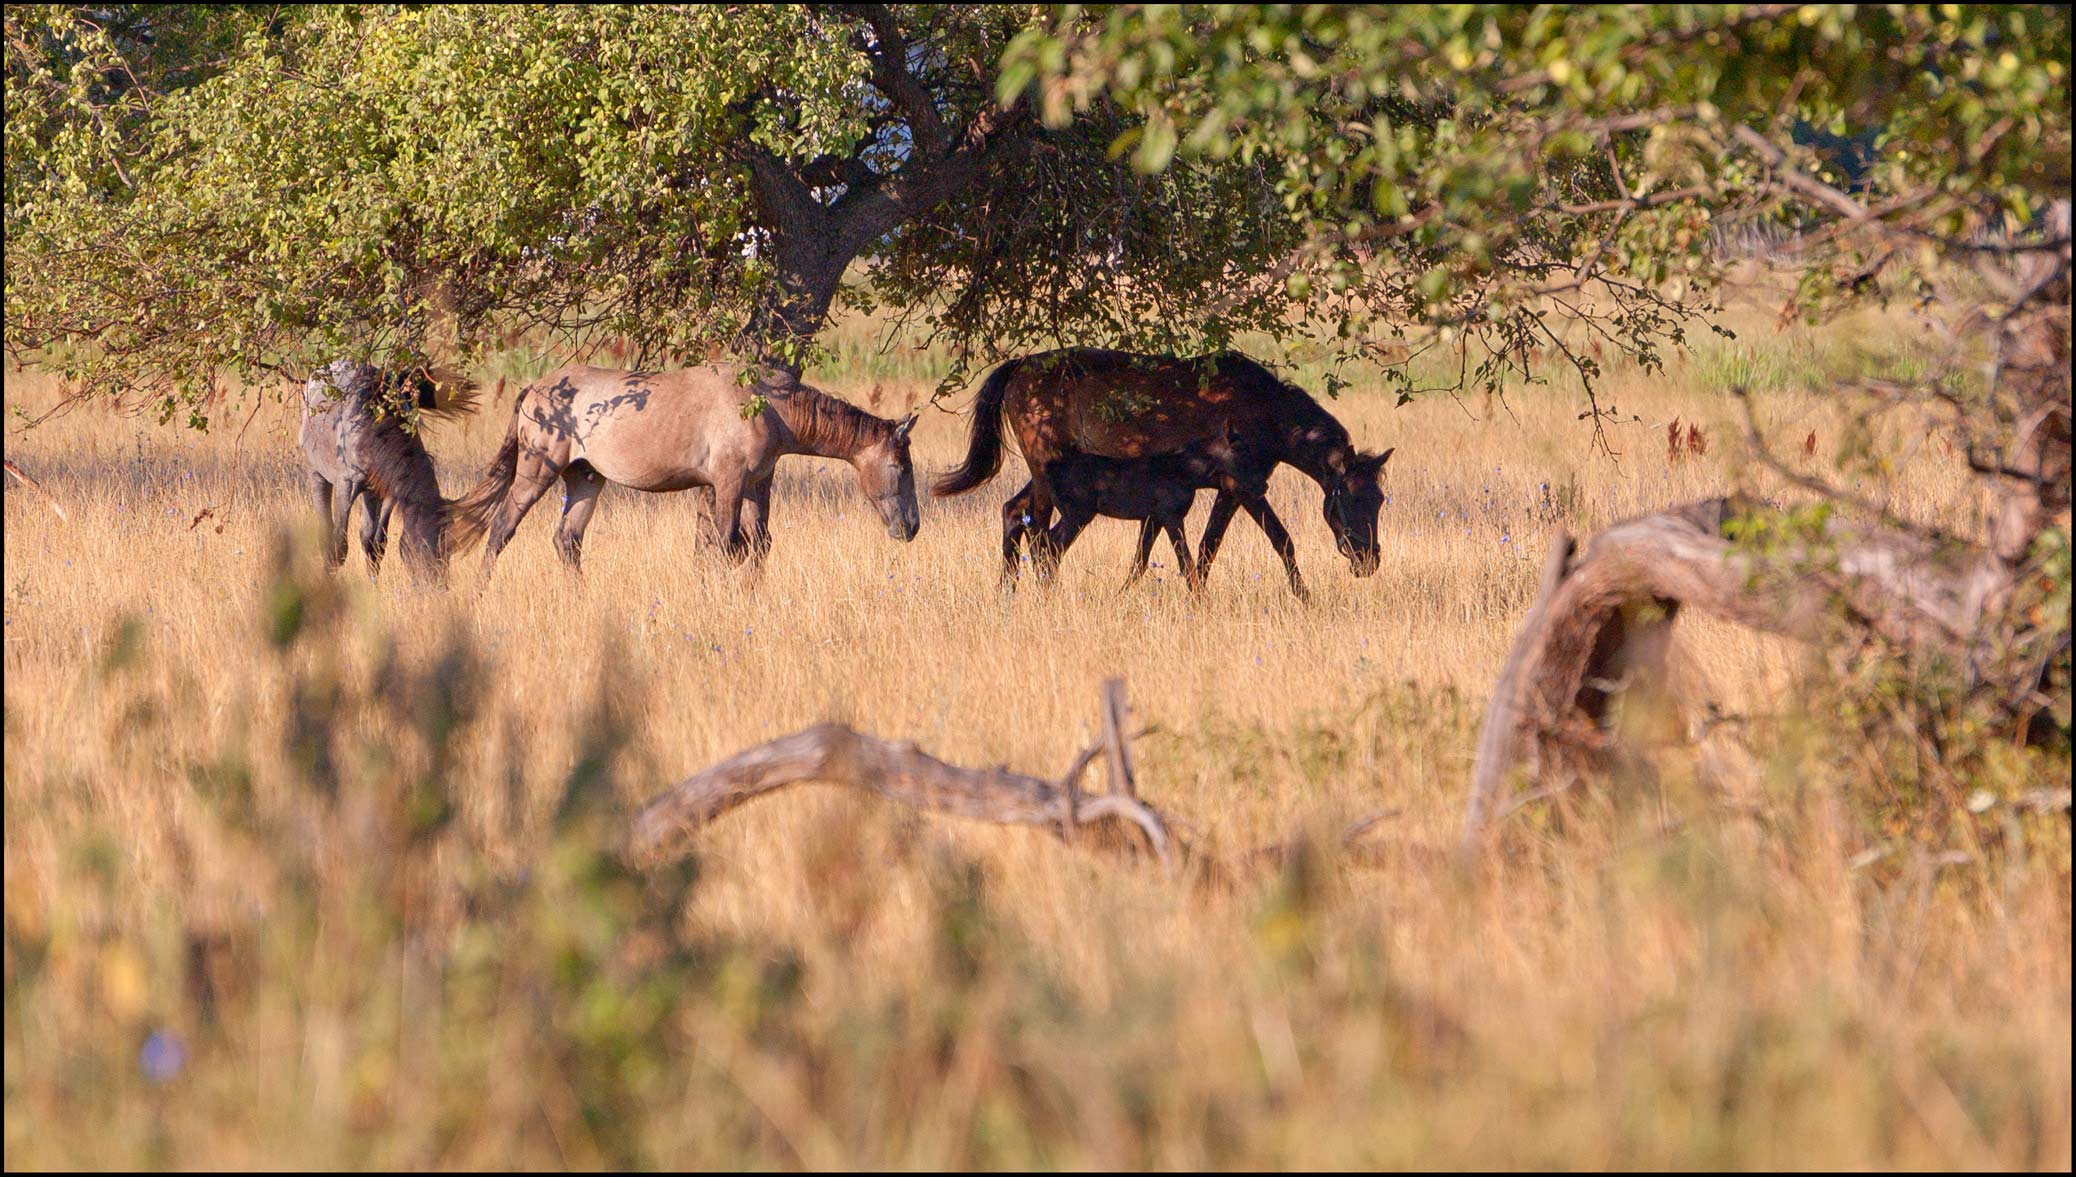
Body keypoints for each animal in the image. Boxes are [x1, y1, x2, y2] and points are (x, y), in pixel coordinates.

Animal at [296, 359, 475, 581]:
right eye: (420, 545)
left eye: (448, 545)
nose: (437, 583)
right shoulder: (346, 485)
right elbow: (339, 546)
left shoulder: (388, 491)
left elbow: (376, 544)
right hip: (317, 476)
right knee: (327, 531)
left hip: (370, 492)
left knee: (366, 535)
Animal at [450, 361, 921, 577]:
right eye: (901, 467)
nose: (911, 527)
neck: (765, 406)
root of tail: (535, 388)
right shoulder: (728, 484)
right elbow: (728, 545)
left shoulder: (756, 485)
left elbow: (758, 546)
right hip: (537, 472)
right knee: (501, 528)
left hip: (584, 479)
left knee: (567, 540)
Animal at [938, 344, 1395, 593]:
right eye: (1351, 498)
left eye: (1379, 500)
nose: (1369, 560)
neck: (1265, 411)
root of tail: (1019, 367)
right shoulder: (1244, 489)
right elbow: (1281, 541)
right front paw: (1305, 597)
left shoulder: (1230, 491)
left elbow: (1203, 550)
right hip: (1046, 475)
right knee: (1037, 534)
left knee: (1013, 515)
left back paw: (1008, 594)